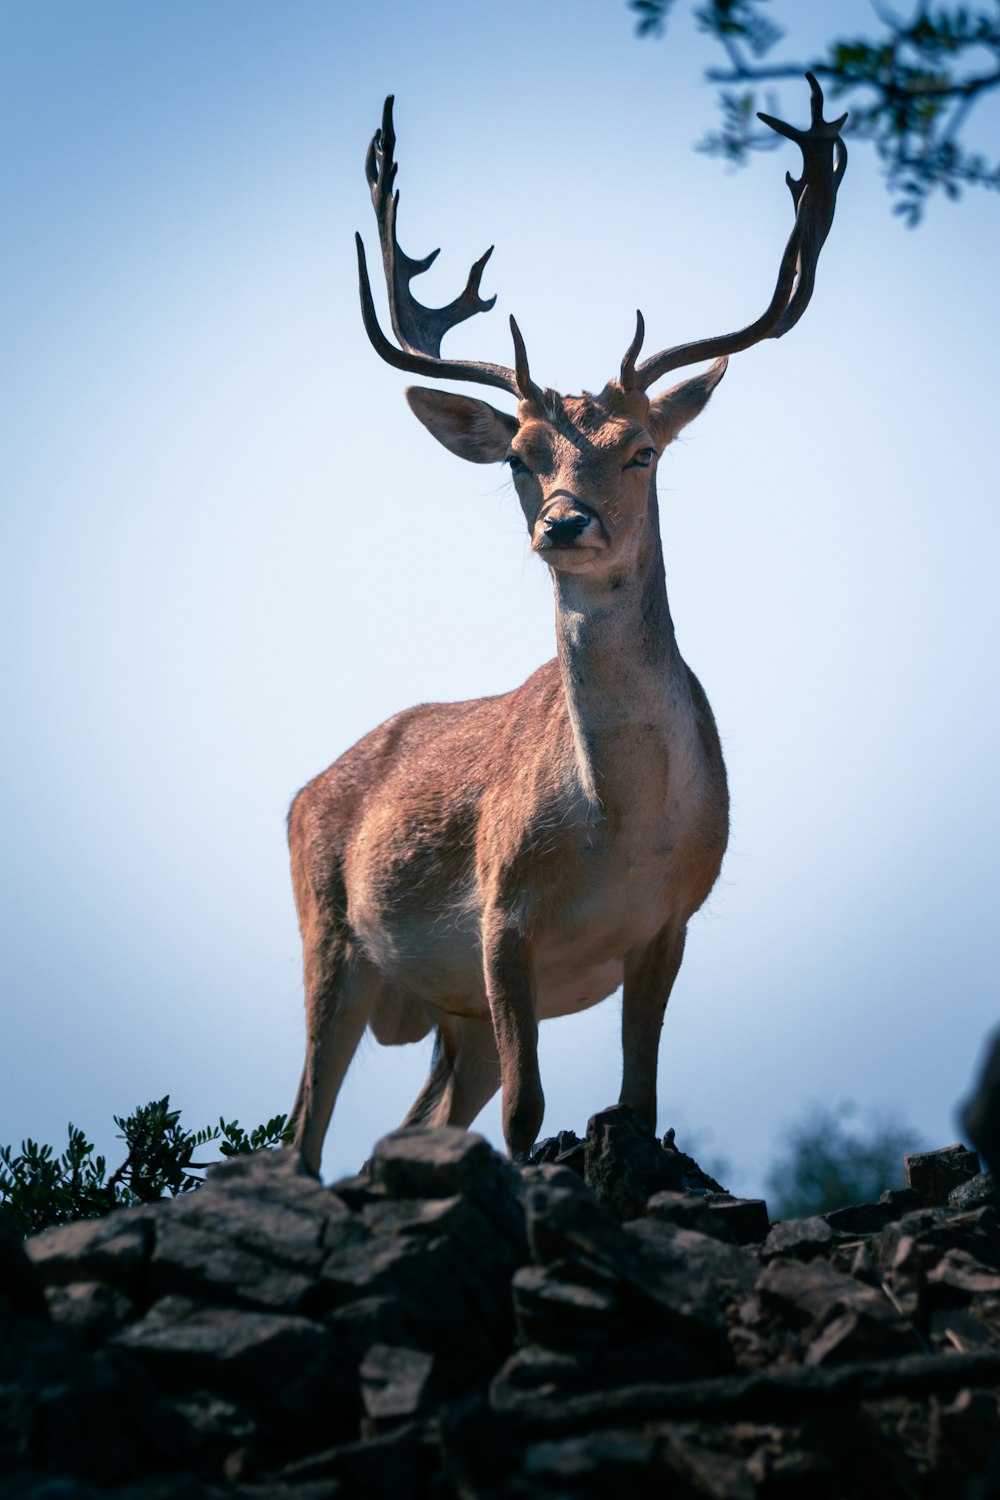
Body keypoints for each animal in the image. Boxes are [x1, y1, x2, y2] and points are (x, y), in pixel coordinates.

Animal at [284, 73, 851, 1170]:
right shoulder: (503, 916)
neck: (618, 828)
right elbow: (527, 1113)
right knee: (302, 1127)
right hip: (329, 934)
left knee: (406, 1121)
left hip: (446, 1012)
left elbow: (637, 1097)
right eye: (520, 455)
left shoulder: (671, 921)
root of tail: (303, 791)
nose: (563, 522)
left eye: (641, 449)